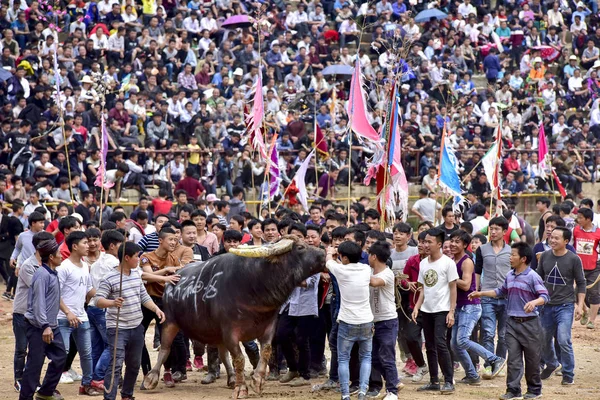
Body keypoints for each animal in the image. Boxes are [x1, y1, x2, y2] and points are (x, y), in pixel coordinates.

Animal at [142, 239, 324, 398]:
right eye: (300, 247)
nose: (323, 253)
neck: (254, 286)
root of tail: (173, 278)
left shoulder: (269, 326)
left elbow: (265, 351)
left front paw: (257, 381)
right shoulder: (230, 331)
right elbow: (239, 359)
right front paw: (241, 388)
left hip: (216, 332)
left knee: (222, 354)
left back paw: (231, 378)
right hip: (169, 322)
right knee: (165, 348)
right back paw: (151, 379)